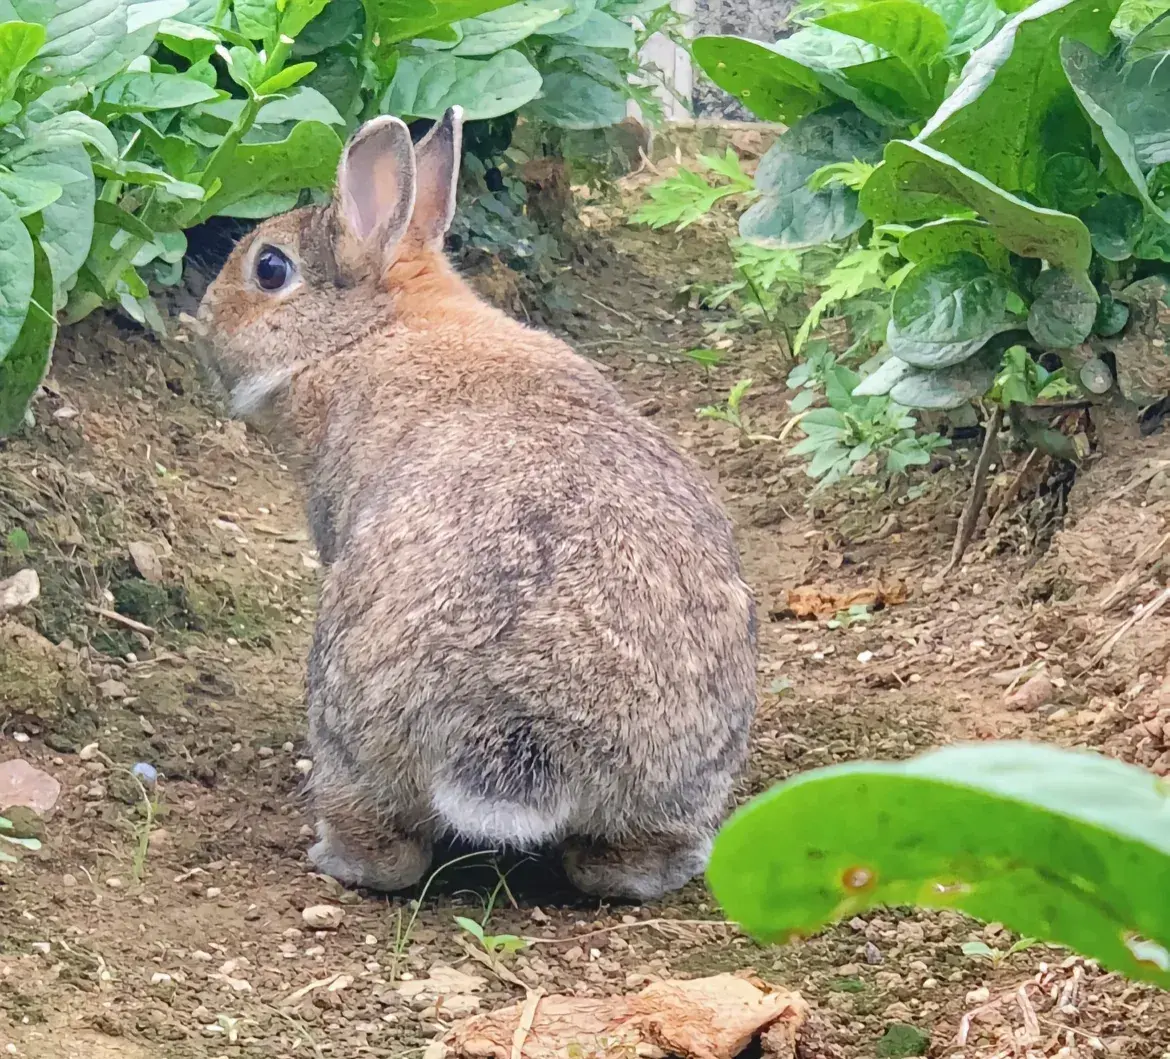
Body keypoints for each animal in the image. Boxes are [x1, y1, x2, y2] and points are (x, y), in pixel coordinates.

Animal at [191, 109, 758, 898]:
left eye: (270, 269)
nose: (204, 317)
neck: (371, 329)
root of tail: (519, 725)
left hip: (354, 737)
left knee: (387, 847)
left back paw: (333, 854)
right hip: (684, 773)